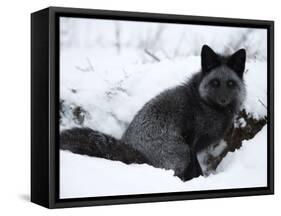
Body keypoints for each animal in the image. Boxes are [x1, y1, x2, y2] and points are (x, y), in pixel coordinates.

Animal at [60, 45, 245, 181]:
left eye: (230, 83)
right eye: (215, 83)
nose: (223, 99)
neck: (204, 104)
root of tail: (138, 154)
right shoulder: (190, 140)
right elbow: (195, 168)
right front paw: (198, 180)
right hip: (181, 151)